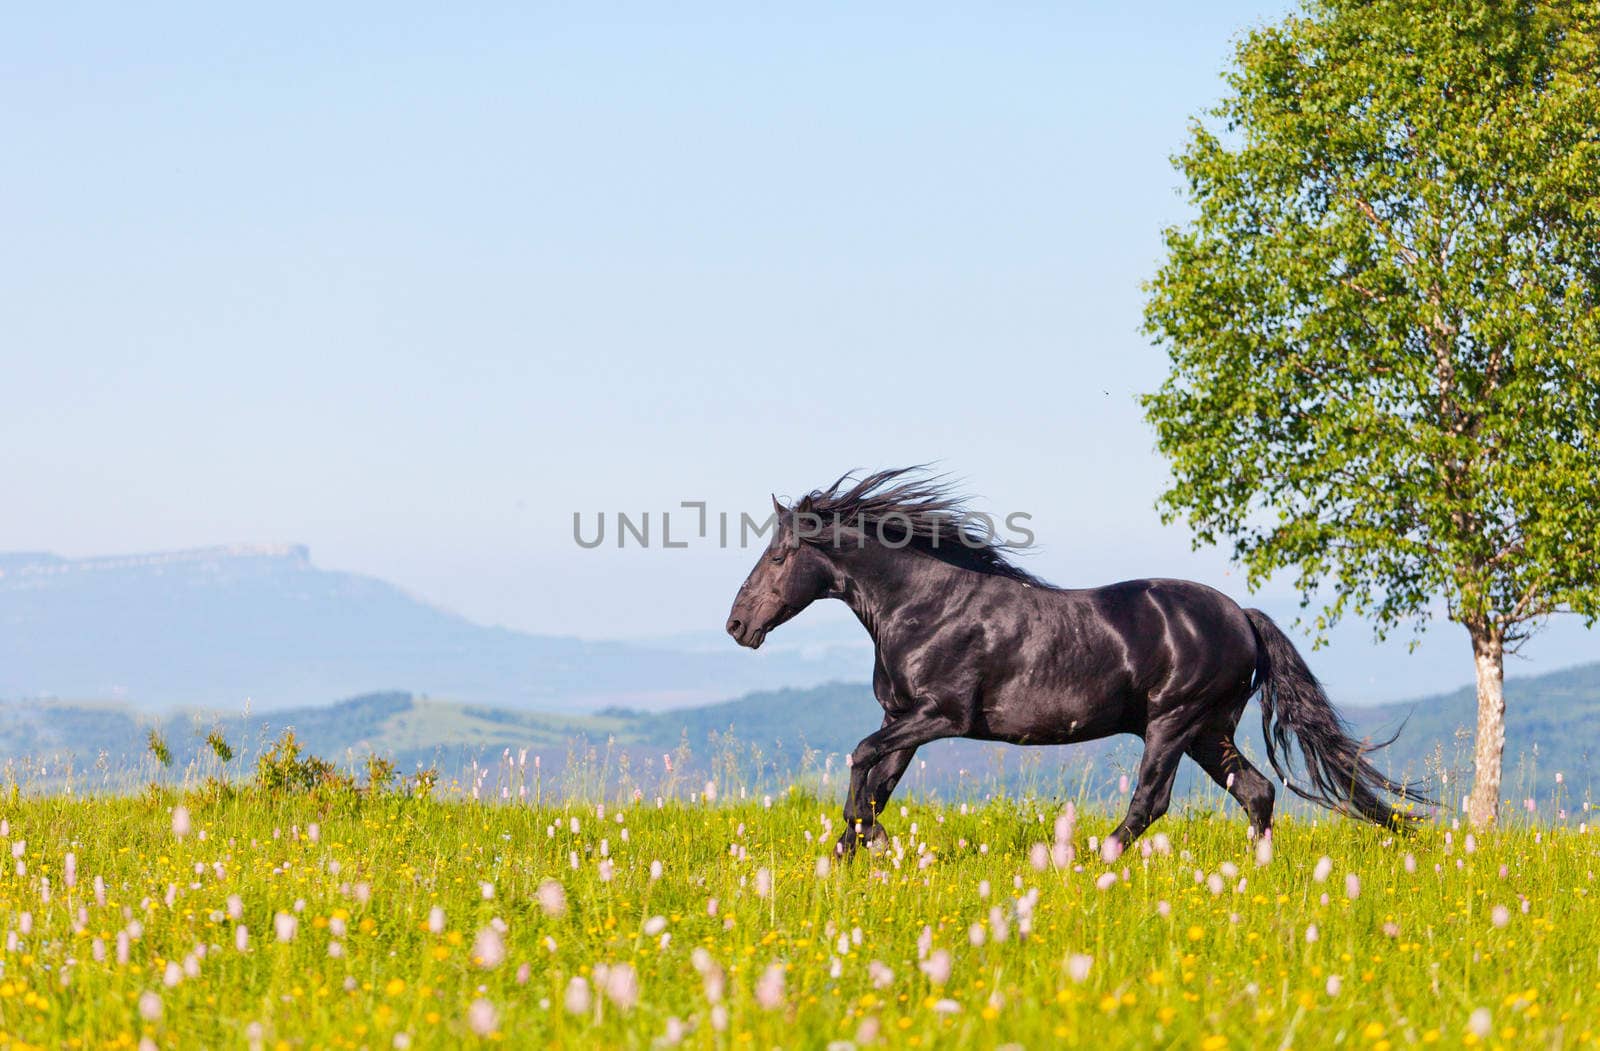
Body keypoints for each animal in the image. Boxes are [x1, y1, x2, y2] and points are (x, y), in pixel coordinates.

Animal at [732, 467, 1433, 851]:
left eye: (778, 557)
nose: (737, 626)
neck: (927, 605)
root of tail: (1243, 617)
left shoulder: (941, 715)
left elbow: (861, 759)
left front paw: (866, 843)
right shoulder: (903, 717)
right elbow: (876, 780)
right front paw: (849, 857)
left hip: (1173, 723)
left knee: (1151, 802)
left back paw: (1091, 863)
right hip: (1208, 730)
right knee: (1256, 792)